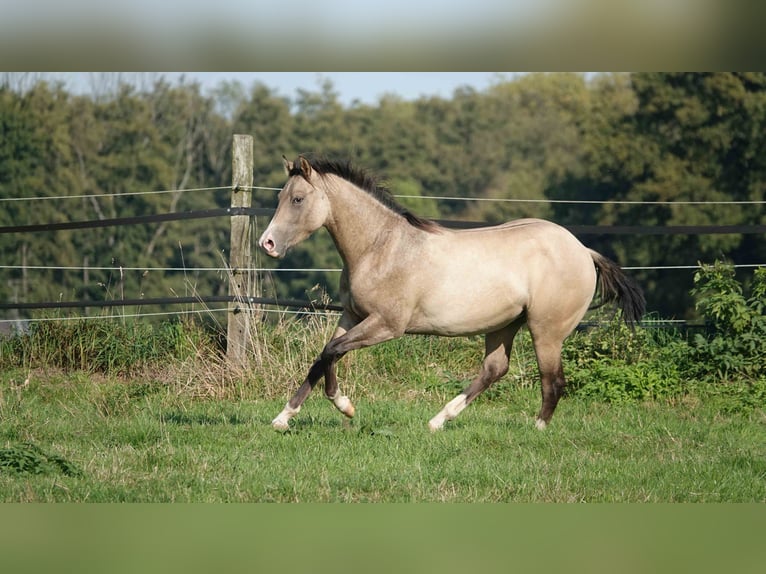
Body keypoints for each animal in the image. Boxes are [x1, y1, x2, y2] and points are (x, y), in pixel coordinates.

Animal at [258, 155, 645, 431]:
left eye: (297, 199)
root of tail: (583, 251)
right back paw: (438, 421)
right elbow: (324, 356)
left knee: (553, 381)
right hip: (504, 325)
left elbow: (331, 351)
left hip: (545, 331)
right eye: (280, 197)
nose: (268, 243)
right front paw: (284, 418)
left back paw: (536, 429)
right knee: (494, 369)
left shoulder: (386, 325)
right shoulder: (352, 315)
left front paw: (345, 406)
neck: (381, 247)